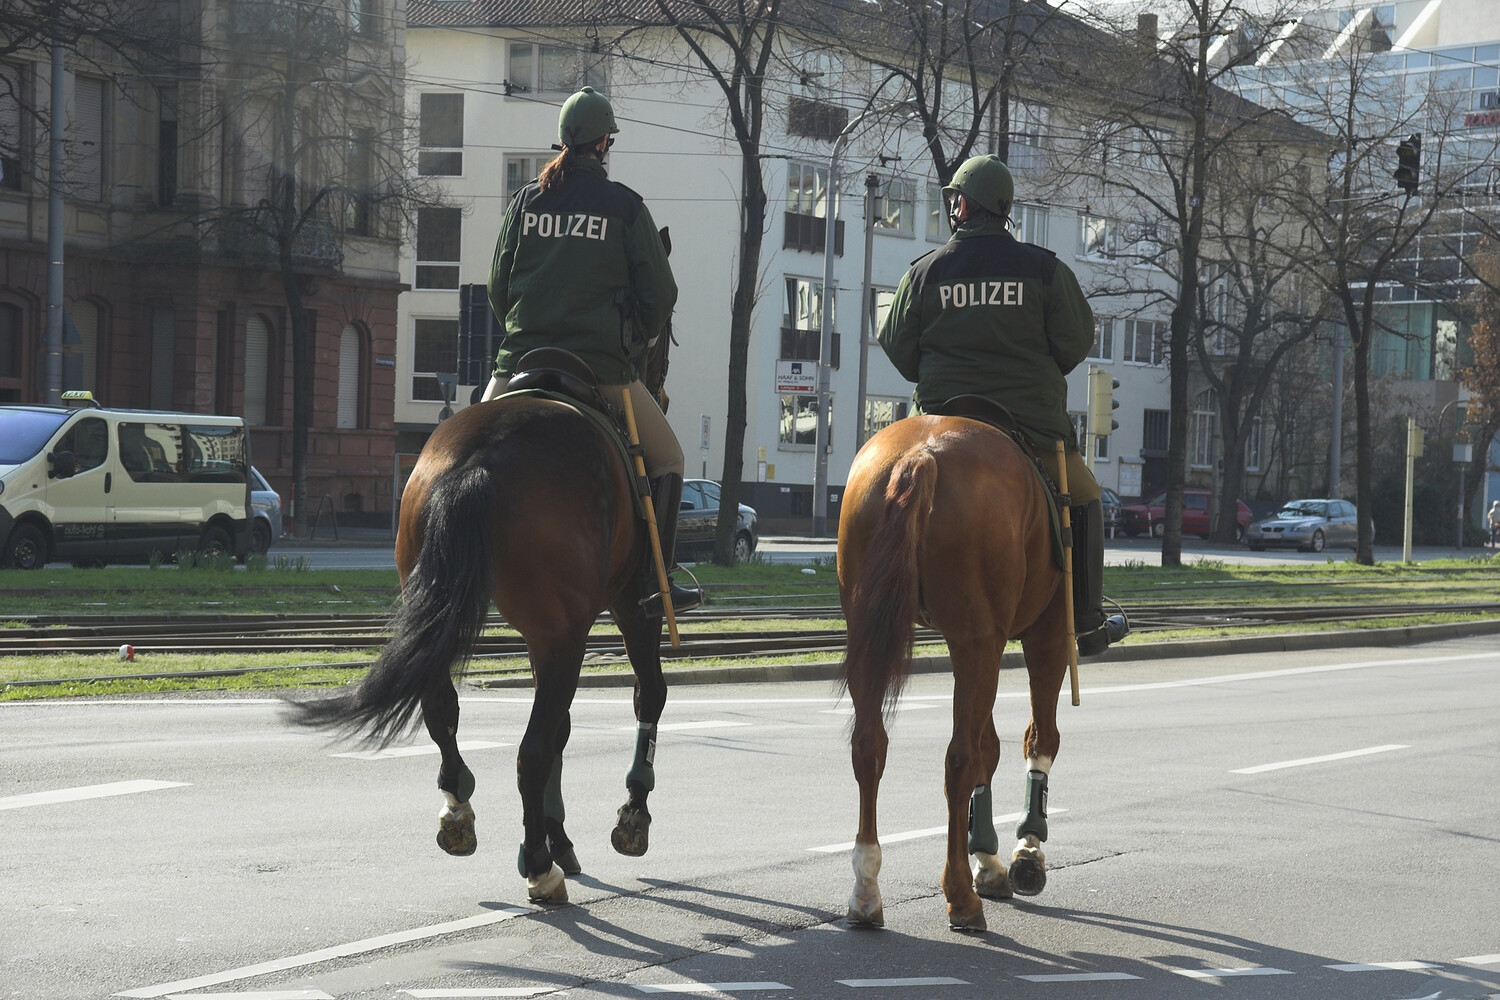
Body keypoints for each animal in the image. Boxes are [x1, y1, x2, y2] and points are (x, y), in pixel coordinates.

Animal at [288, 334, 675, 905]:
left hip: (457, 614)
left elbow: (562, 726)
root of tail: (479, 460)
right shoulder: (628, 609)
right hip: (568, 634)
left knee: (443, 712)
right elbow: (647, 696)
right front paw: (631, 817)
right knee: (531, 751)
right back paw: (538, 867)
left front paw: (560, 834)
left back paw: (459, 811)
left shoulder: (550, 635)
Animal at [840, 410, 1074, 935]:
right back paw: (961, 897)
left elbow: (993, 746)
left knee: (869, 745)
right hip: (981, 641)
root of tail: (922, 453)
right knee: (960, 758)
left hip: (872, 632)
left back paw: (866, 889)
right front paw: (1025, 850)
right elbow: (1038, 737)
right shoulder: (1044, 634)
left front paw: (988, 857)